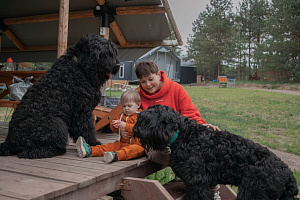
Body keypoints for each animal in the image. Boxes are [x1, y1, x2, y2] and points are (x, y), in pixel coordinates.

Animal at [134, 105, 300, 199]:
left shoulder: (197, 183)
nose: (135, 129)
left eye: (145, 120)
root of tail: (289, 175)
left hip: (252, 193)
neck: (183, 134)